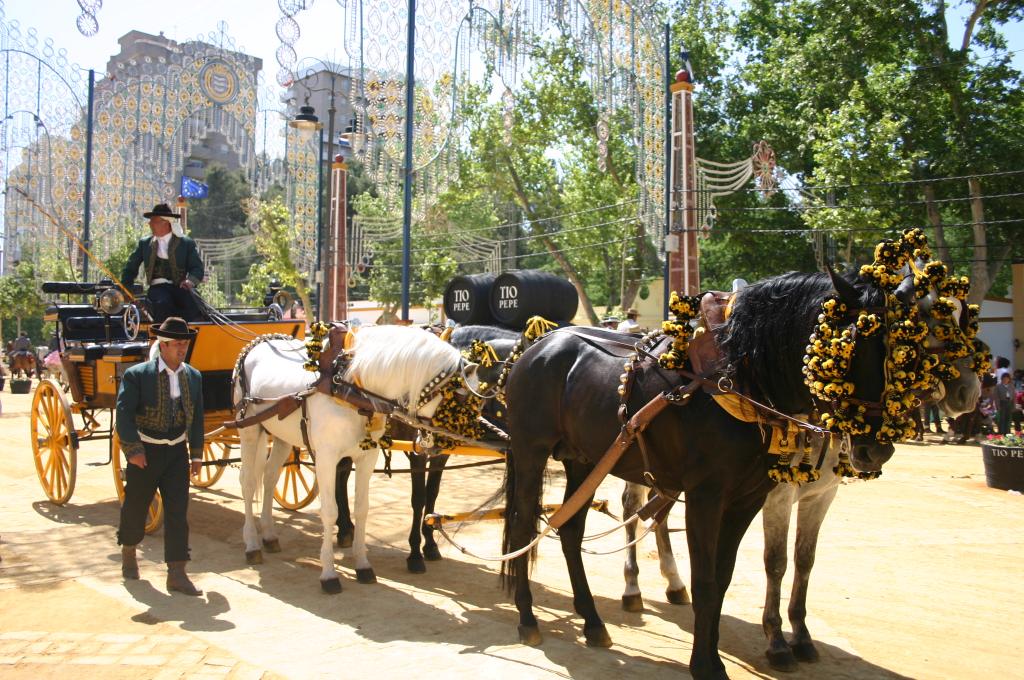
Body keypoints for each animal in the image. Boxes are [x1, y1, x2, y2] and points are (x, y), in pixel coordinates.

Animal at [232, 323, 479, 589]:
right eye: (460, 398)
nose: (447, 444)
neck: (350, 385)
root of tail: (260, 341)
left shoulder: (366, 456)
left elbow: (362, 508)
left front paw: (362, 565)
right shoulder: (327, 457)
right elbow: (329, 511)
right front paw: (329, 574)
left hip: (281, 436)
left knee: (269, 478)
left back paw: (268, 535)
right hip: (249, 430)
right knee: (248, 483)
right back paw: (252, 544)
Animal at [501, 268, 897, 675]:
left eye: (898, 341)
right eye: (851, 342)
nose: (876, 449)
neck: (739, 380)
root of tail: (538, 344)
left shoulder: (747, 500)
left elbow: (722, 579)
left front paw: (713, 654)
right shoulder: (706, 497)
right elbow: (706, 580)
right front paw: (705, 664)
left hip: (584, 461)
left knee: (570, 530)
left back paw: (593, 622)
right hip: (531, 451)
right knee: (522, 526)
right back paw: (528, 618)